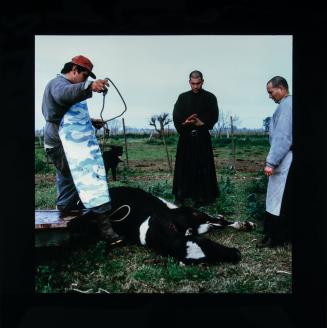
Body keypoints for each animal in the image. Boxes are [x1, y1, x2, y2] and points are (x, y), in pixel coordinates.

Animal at [72, 187, 256, 264]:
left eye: (207, 243)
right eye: (204, 260)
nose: (236, 254)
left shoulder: (190, 215)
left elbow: (219, 222)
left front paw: (244, 224)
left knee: (214, 220)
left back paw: (243, 224)